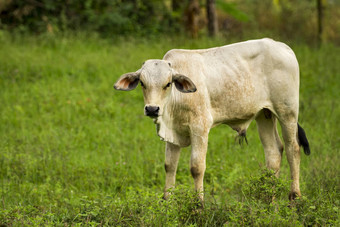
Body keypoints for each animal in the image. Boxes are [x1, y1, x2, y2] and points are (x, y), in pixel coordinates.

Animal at [115, 37, 310, 202]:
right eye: (142, 83)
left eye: (168, 84)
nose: (152, 109)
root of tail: (282, 46)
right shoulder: (173, 133)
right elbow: (170, 166)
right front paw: (167, 203)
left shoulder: (200, 127)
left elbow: (196, 167)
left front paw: (198, 205)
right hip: (264, 115)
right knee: (274, 153)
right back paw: (269, 200)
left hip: (287, 111)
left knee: (293, 149)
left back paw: (294, 198)